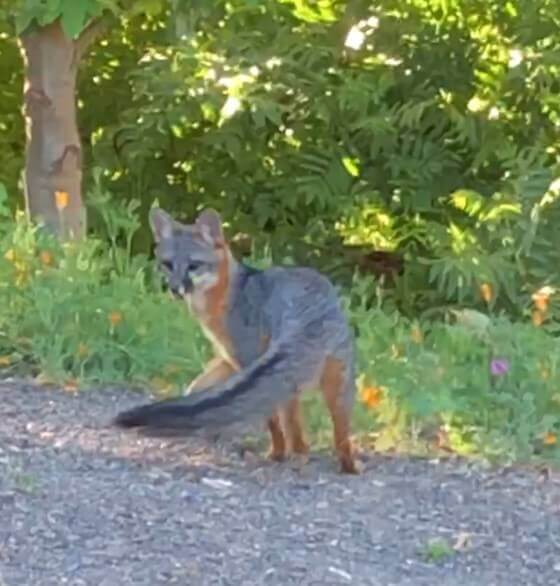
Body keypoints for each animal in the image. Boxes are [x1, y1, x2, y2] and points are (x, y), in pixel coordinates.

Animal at [115, 208, 358, 472]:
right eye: (168, 265)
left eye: (193, 266)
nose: (175, 289)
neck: (229, 293)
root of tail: (311, 310)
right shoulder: (227, 360)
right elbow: (196, 388)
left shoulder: (244, 359)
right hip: (326, 384)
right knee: (333, 433)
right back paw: (340, 464)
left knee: (284, 421)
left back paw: (280, 454)